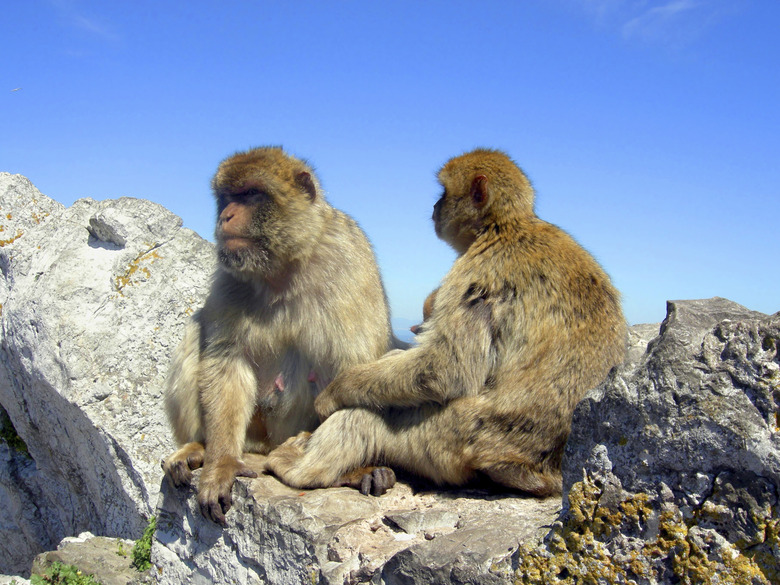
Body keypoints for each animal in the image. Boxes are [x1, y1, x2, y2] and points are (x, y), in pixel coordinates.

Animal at [164, 147, 396, 524]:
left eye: (251, 194)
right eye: (227, 197)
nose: (226, 215)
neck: (282, 267)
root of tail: (265, 445)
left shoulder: (349, 260)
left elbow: (350, 369)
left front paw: (354, 470)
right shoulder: (229, 278)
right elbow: (227, 361)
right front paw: (221, 463)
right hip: (252, 434)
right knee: (197, 327)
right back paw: (199, 447)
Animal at [268, 148, 628, 496]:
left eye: (443, 192)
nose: (435, 206)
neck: (505, 226)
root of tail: (540, 474)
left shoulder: (479, 269)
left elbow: (444, 370)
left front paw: (333, 392)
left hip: (446, 440)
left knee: (364, 417)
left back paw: (295, 467)